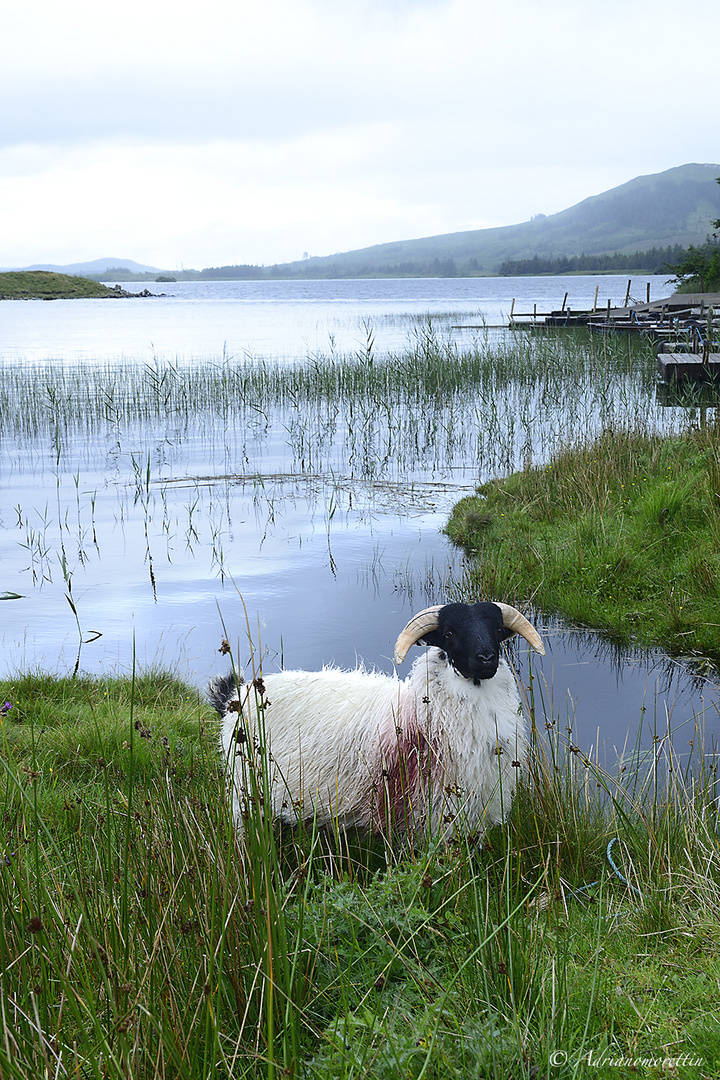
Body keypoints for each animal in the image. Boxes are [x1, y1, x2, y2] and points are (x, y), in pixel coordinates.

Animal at [209, 600, 546, 842]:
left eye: (498, 631)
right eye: (449, 633)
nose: (486, 659)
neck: (420, 710)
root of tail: (236, 695)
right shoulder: (435, 812)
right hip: (244, 794)